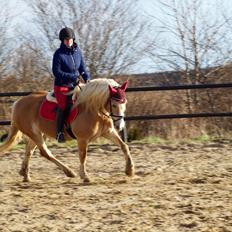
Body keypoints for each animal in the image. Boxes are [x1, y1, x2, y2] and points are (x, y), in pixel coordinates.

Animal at [0, 79, 134, 182]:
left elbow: (124, 146)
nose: (120, 126)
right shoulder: (82, 139)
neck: (92, 109)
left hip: (38, 134)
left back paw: (25, 174)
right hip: (35, 134)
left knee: (29, 151)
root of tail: (18, 102)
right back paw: (69, 172)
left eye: (125, 103)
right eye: (114, 105)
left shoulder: (109, 132)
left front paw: (130, 170)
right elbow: (83, 156)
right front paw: (84, 176)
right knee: (45, 152)